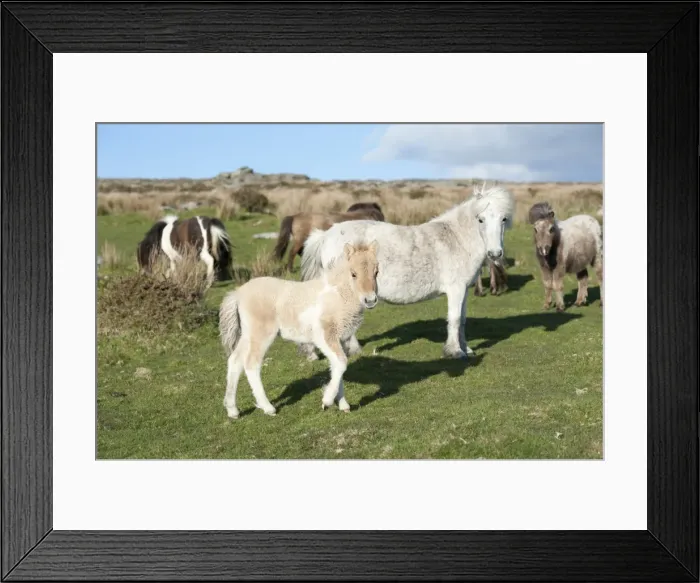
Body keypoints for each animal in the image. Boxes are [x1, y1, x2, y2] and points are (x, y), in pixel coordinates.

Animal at [218, 241, 379, 418]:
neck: (338, 295)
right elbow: (341, 362)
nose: (370, 300)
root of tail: (238, 294)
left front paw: (343, 405)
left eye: (376, 272)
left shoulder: (341, 338)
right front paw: (327, 401)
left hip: (248, 335)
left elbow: (338, 367)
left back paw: (232, 410)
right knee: (251, 364)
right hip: (261, 334)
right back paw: (268, 408)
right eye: (353, 274)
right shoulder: (324, 335)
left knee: (235, 361)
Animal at [299, 184, 515, 360]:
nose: (495, 253)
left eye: (504, 219)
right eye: (481, 220)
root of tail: (325, 236)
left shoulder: (464, 290)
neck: (456, 239)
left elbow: (461, 319)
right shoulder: (456, 290)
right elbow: (454, 320)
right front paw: (455, 352)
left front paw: (466, 349)